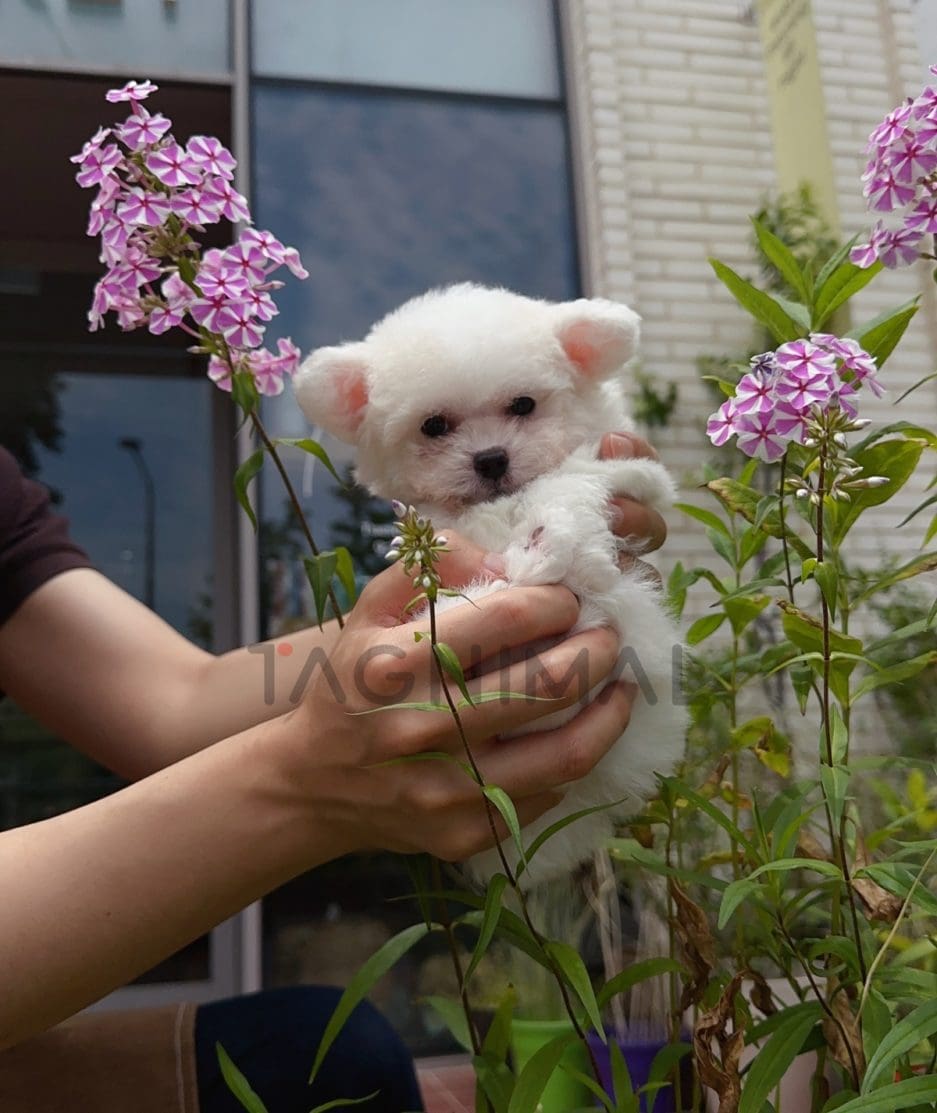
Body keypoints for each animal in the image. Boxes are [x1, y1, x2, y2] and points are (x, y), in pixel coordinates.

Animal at [296, 284, 681, 885]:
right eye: (434, 426)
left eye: (523, 405)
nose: (491, 458)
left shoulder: (631, 473)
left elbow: (576, 478)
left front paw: (553, 543)